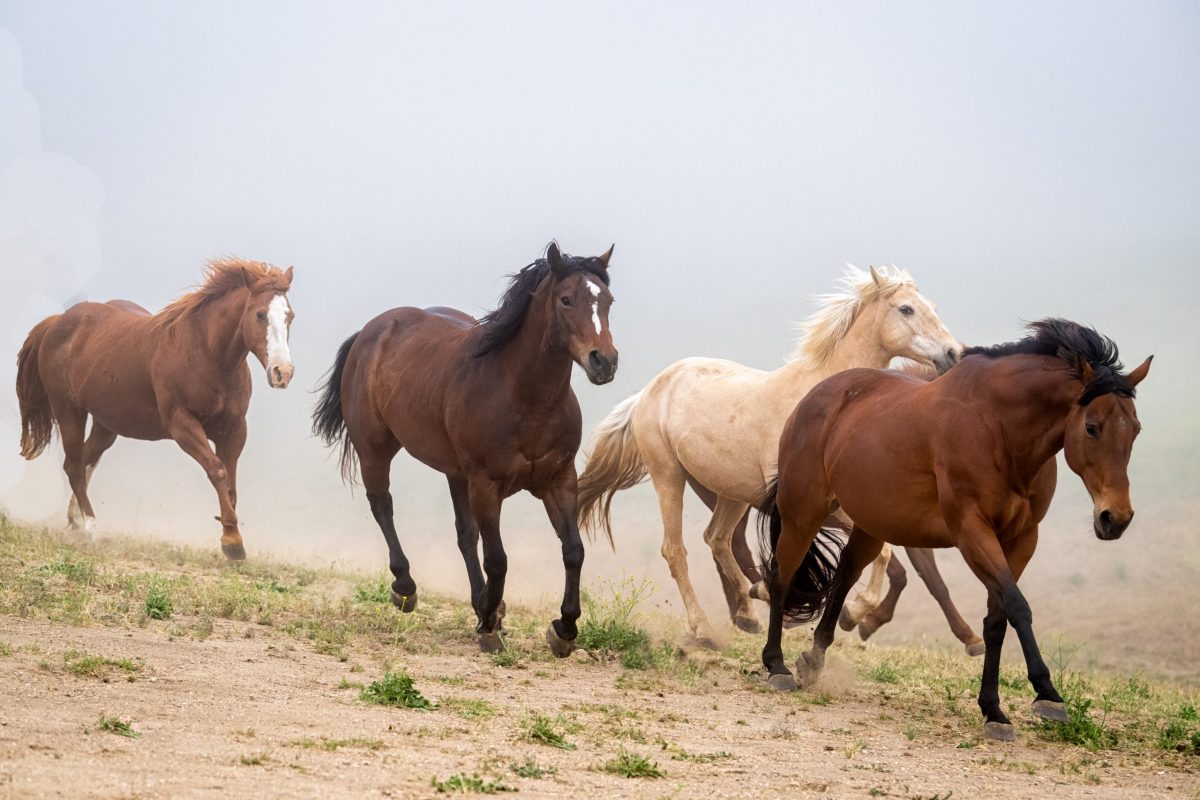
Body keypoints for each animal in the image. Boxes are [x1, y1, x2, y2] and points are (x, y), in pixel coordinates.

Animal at [15, 258, 296, 559]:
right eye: (260, 314)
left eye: (289, 315)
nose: (282, 373)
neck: (207, 354)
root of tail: (57, 322)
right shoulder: (182, 424)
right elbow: (218, 471)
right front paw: (232, 542)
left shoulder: (233, 429)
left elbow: (231, 483)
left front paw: (231, 536)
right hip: (69, 411)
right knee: (74, 467)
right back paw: (94, 530)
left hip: (106, 423)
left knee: (85, 461)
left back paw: (75, 521)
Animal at [312, 242, 617, 657]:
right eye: (566, 299)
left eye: (609, 301)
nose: (605, 361)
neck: (525, 397)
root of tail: (371, 332)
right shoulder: (486, 484)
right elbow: (498, 559)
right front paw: (489, 623)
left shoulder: (559, 479)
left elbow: (573, 550)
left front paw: (563, 629)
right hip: (375, 450)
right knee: (383, 507)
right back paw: (406, 588)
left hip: (455, 473)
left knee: (464, 535)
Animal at [577, 265, 962, 647]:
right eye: (906, 309)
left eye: (932, 306)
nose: (954, 353)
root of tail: (649, 391)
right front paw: (850, 613)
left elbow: (880, 551)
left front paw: (852, 614)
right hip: (669, 475)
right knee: (676, 551)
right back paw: (705, 629)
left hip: (732, 493)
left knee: (717, 539)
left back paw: (749, 612)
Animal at [757, 318, 1151, 741]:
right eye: (1092, 427)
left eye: (1135, 429)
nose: (1115, 518)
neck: (999, 428)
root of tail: (816, 397)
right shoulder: (971, 532)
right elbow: (1018, 607)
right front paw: (1048, 695)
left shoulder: (1022, 539)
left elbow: (998, 618)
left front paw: (993, 710)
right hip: (804, 512)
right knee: (782, 575)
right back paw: (776, 666)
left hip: (871, 524)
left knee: (844, 574)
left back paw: (813, 659)